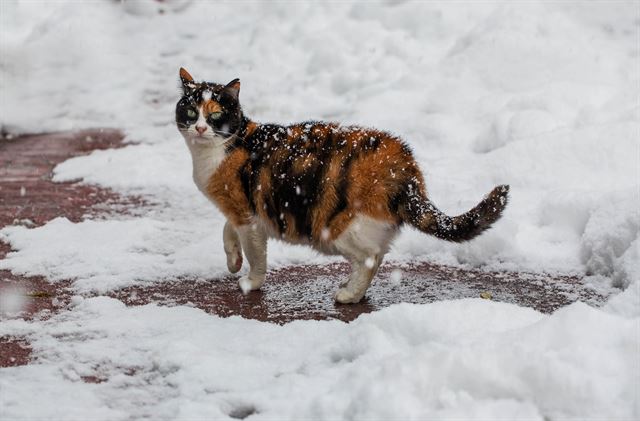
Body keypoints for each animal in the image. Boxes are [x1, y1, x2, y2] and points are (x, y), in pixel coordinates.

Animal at [176, 68, 510, 302]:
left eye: (216, 114)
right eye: (191, 112)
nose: (200, 128)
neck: (226, 146)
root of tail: (405, 166)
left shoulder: (248, 215)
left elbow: (256, 255)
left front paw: (250, 281)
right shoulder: (241, 212)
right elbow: (227, 230)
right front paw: (233, 260)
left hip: (337, 228)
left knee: (371, 257)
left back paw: (349, 295)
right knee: (377, 256)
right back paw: (353, 290)